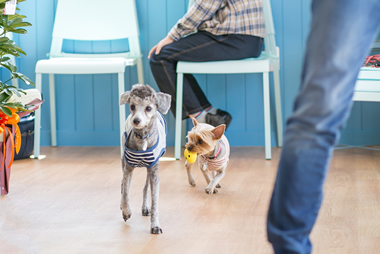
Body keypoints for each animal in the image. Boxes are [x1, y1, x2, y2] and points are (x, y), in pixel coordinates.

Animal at [119, 84, 171, 235]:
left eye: (148, 108)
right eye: (132, 106)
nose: (136, 120)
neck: (142, 137)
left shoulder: (154, 172)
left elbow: (155, 203)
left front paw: (155, 225)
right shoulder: (128, 169)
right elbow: (125, 193)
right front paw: (126, 212)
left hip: (150, 170)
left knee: (145, 188)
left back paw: (145, 207)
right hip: (123, 161)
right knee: (122, 185)